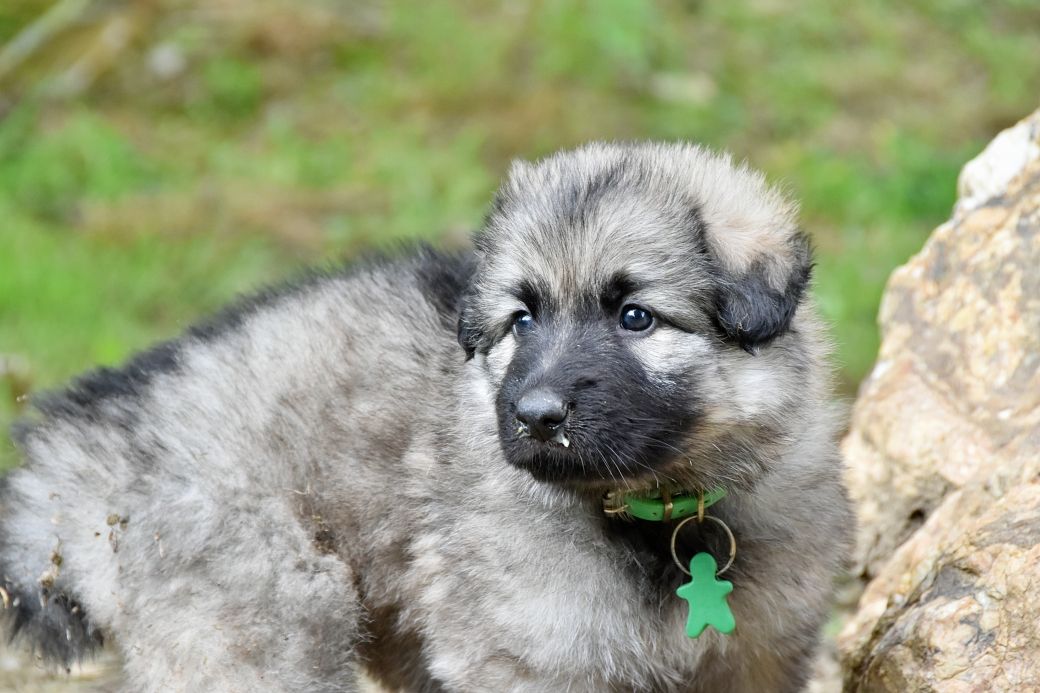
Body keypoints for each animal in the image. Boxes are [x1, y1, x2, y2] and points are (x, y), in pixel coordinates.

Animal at [0, 142, 851, 692]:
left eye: (635, 316)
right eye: (521, 320)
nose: (536, 415)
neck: (658, 511)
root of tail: (106, 428)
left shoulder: (760, 656)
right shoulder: (528, 657)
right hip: (261, 625)